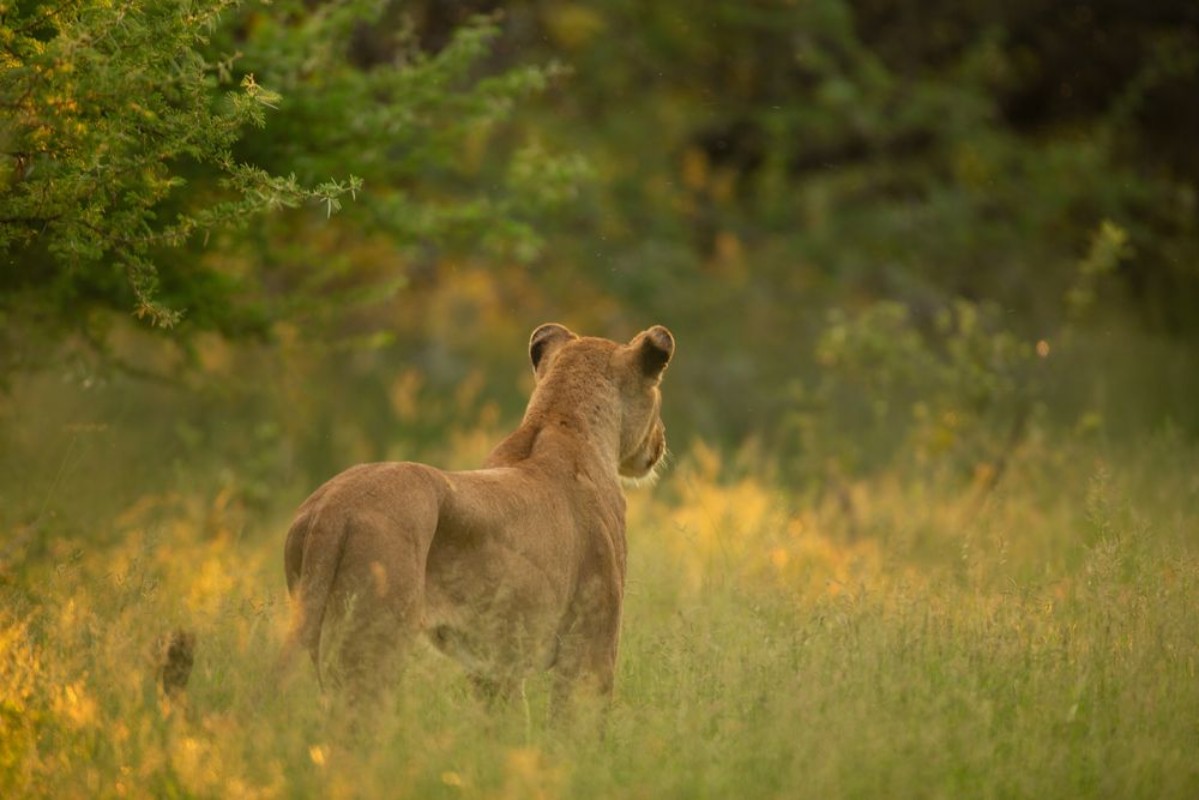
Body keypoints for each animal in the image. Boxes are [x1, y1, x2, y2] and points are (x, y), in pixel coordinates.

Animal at [280, 323, 674, 713]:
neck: (559, 420)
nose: (661, 440)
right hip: (374, 643)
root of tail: (332, 509)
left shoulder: (494, 666)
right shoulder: (591, 644)